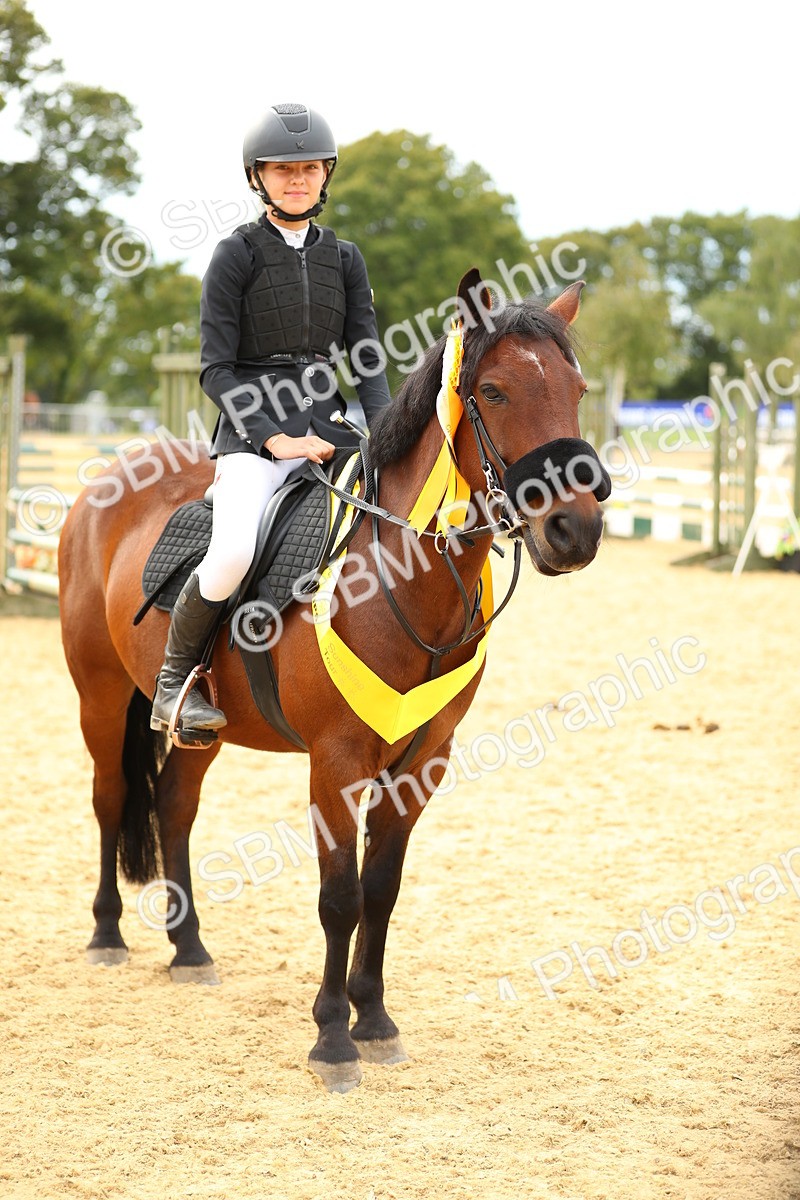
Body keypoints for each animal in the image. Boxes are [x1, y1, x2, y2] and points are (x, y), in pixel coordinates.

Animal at [58, 270, 609, 1092]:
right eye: (496, 390)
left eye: (577, 389)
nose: (576, 530)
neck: (398, 577)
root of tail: (110, 479)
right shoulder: (336, 761)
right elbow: (339, 896)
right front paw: (332, 1038)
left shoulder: (421, 762)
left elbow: (380, 890)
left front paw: (374, 1020)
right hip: (99, 695)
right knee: (111, 797)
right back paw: (106, 935)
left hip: (198, 730)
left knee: (176, 808)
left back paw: (189, 949)